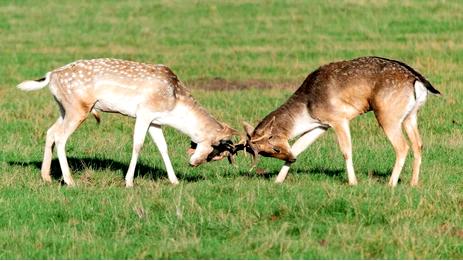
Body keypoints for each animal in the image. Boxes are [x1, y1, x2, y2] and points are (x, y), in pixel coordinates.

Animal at [17, 58, 239, 186]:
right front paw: (129, 182)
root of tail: (51, 76)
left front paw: (174, 180)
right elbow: (138, 145)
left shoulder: (156, 121)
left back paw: (46, 177)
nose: (194, 163)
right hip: (78, 108)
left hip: (65, 108)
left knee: (50, 132)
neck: (174, 104)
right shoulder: (144, 113)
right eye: (216, 150)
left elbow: (163, 147)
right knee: (61, 137)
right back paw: (70, 181)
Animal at [241, 56, 440, 186]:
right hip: (410, 116)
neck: (307, 109)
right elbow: (299, 146)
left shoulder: (338, 118)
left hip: (387, 114)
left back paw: (391, 184)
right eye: (266, 153)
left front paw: (353, 182)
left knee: (402, 146)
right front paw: (278, 180)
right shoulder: (321, 125)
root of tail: (418, 79)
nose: (292, 159)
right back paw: (413, 183)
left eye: (274, 148)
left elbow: (346, 150)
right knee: (418, 145)